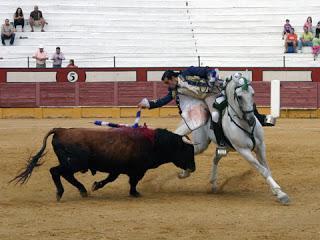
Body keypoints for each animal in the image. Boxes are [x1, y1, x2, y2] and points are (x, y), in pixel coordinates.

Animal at [11, 127, 195, 201]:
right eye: (187, 151)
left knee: (65, 175)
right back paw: (61, 193)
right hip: (74, 163)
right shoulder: (137, 170)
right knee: (56, 172)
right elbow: (133, 182)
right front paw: (135, 193)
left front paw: (96, 185)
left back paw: (83, 190)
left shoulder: (118, 169)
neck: (153, 143)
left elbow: (111, 179)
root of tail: (61, 130)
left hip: (73, 164)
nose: (193, 168)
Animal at [182, 75, 290, 204]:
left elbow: (267, 168)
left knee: (215, 158)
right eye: (239, 97)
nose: (251, 120)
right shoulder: (244, 150)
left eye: (253, 94)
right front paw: (281, 194)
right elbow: (262, 170)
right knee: (193, 150)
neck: (245, 125)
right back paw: (185, 173)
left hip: (225, 147)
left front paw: (276, 191)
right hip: (202, 144)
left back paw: (213, 184)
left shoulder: (260, 146)